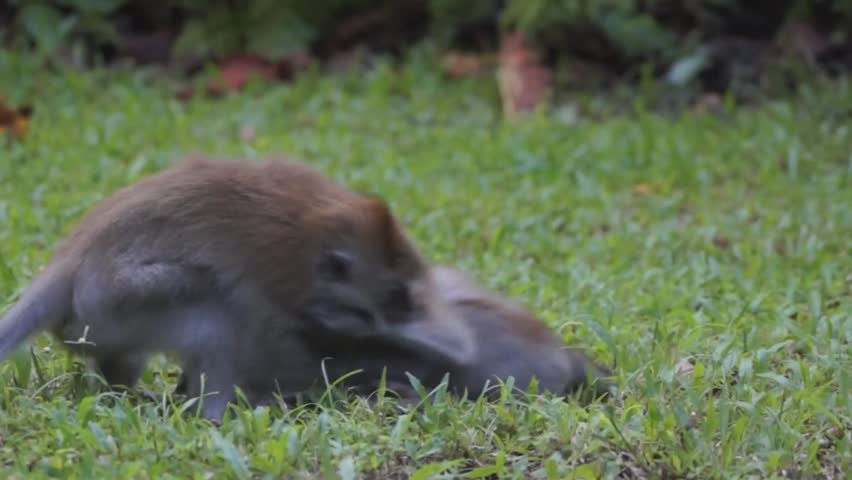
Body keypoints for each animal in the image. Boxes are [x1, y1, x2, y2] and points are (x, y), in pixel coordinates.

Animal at [0, 156, 473, 419]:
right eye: (397, 299)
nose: (455, 342)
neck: (314, 235)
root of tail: (70, 260)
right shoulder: (280, 286)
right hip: (114, 302)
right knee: (219, 308)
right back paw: (214, 415)